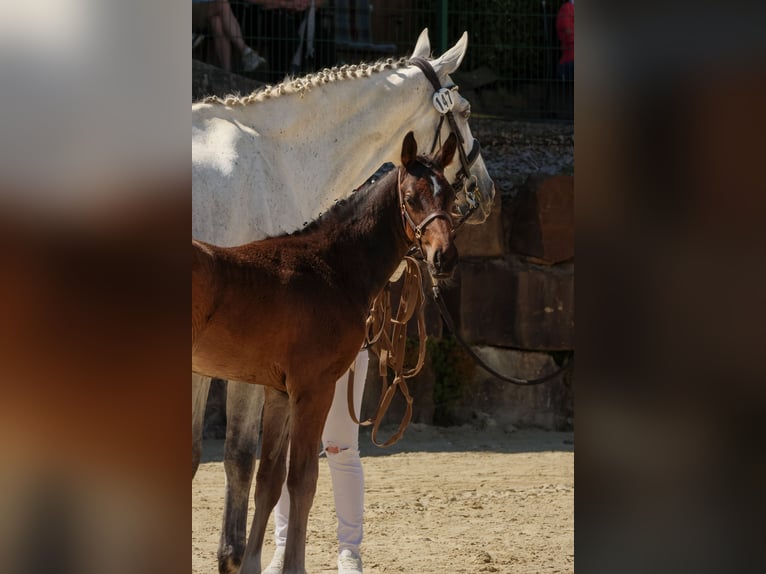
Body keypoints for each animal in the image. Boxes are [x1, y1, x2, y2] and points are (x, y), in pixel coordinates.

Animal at [192, 28, 495, 573]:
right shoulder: (269, 379)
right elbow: (253, 465)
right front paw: (239, 558)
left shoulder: (275, 383)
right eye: (462, 109)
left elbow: (269, 476)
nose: (487, 190)